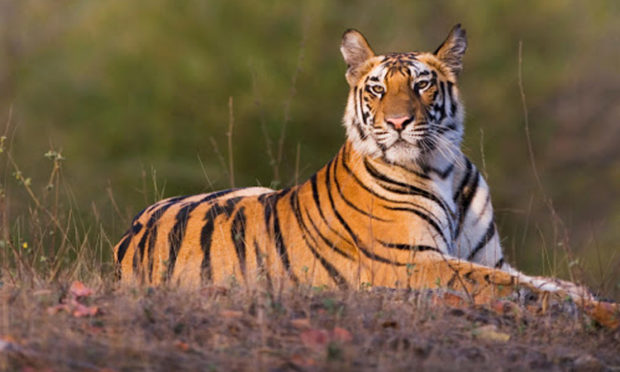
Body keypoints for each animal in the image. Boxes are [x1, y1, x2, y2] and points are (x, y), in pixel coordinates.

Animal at [114, 25, 616, 328]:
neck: (443, 168)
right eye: (376, 88)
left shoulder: (489, 257)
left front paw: (590, 297)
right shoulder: (414, 262)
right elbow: (517, 287)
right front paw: (598, 312)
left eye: (421, 84)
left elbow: (545, 282)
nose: (397, 122)